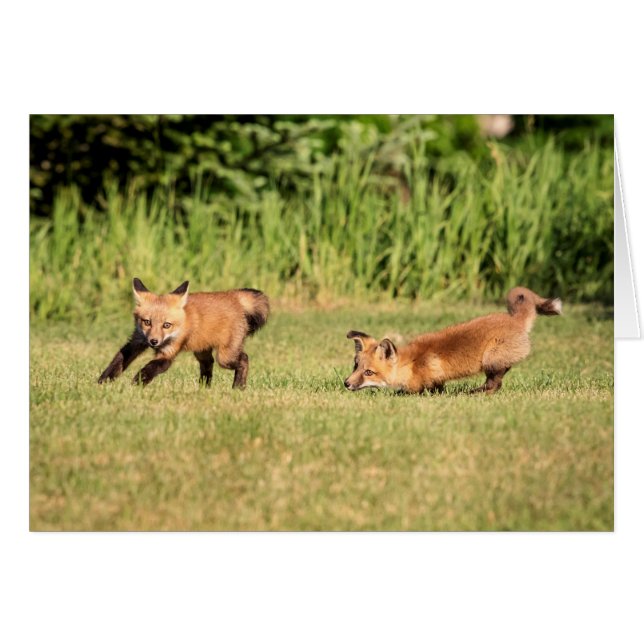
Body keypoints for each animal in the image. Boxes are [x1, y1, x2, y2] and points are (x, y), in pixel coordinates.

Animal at [98, 278, 269, 388]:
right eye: (147, 322)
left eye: (166, 325)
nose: (153, 342)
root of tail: (233, 296)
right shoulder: (137, 341)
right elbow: (118, 361)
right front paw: (102, 382)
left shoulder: (169, 351)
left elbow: (151, 367)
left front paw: (135, 384)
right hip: (202, 351)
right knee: (208, 364)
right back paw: (203, 388)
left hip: (225, 357)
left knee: (244, 358)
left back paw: (238, 387)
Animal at [344, 287, 562, 395]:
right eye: (355, 366)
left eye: (369, 372)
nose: (346, 383)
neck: (411, 364)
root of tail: (514, 319)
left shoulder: (426, 380)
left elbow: (411, 392)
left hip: (491, 359)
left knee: (495, 384)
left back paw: (475, 393)